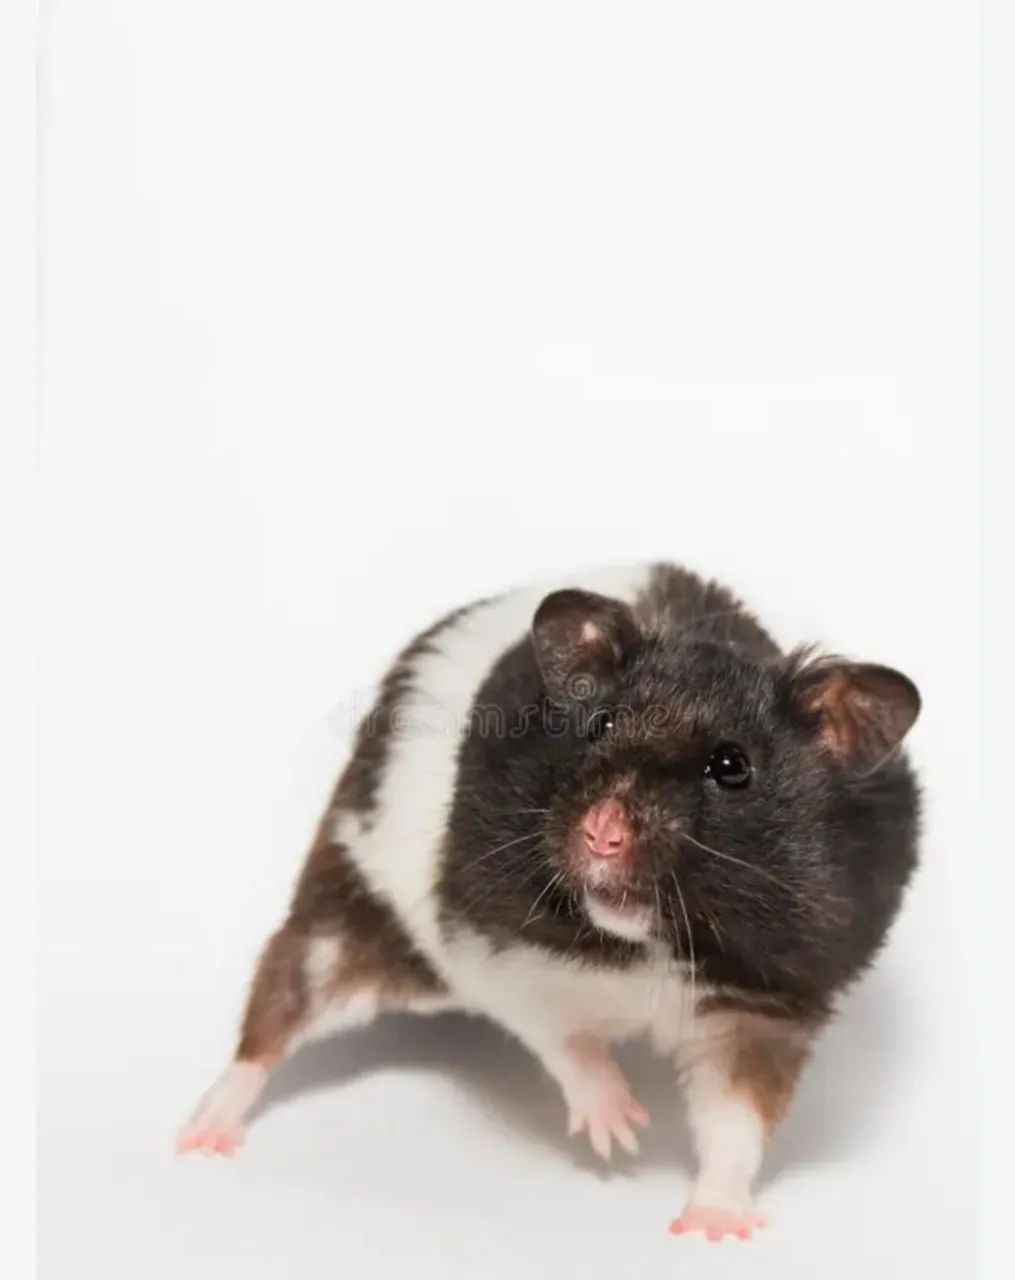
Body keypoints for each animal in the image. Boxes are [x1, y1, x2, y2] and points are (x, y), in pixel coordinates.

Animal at [177, 562, 920, 1241]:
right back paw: (200, 1134)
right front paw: (620, 1133)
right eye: (600, 723)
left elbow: (735, 1120)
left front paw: (713, 1227)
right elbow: (562, 1037)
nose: (601, 833)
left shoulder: (764, 1010)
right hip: (348, 913)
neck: (651, 943)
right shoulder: (490, 948)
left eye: (731, 766)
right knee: (278, 1006)